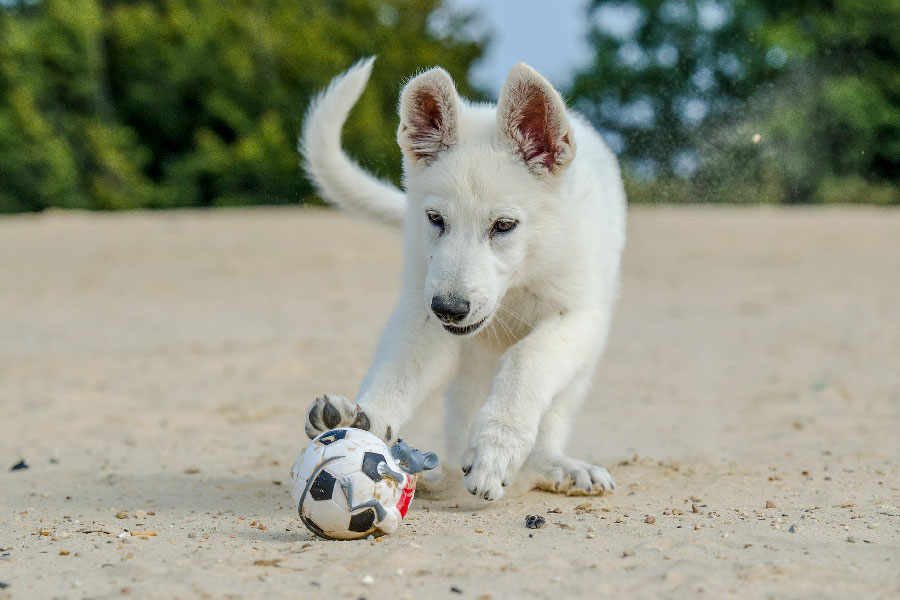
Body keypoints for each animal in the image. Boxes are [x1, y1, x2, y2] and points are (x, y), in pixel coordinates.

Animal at [302, 57, 624, 502]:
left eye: (504, 225)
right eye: (436, 219)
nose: (450, 309)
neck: (520, 278)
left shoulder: (577, 315)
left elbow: (527, 359)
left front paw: (496, 447)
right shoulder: (424, 313)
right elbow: (397, 372)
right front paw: (364, 420)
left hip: (580, 365)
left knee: (551, 414)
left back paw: (552, 465)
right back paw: (438, 474)